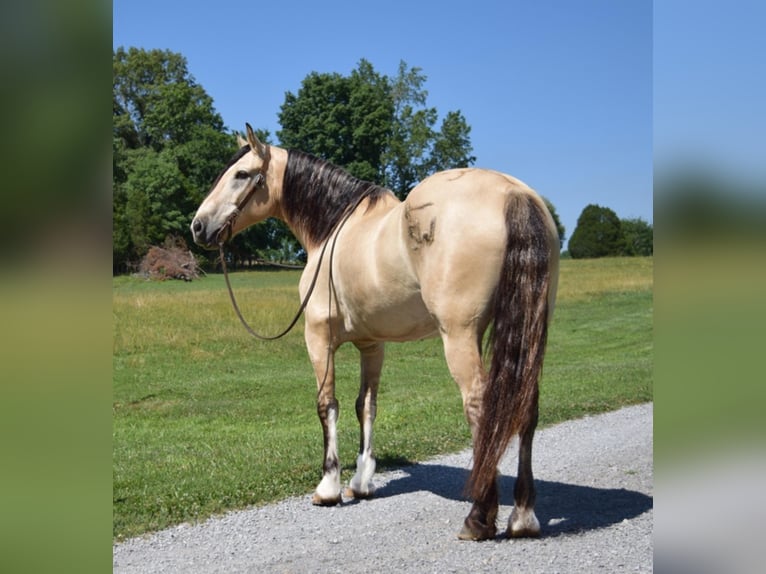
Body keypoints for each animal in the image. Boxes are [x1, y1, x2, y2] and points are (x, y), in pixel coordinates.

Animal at [190, 124, 564, 544]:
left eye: (241, 175)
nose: (198, 227)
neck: (332, 232)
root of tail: (513, 194)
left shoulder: (318, 338)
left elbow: (327, 404)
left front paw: (329, 488)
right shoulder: (372, 345)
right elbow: (365, 406)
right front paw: (362, 483)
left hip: (460, 336)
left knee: (480, 407)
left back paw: (479, 518)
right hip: (530, 331)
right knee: (526, 407)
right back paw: (523, 517)